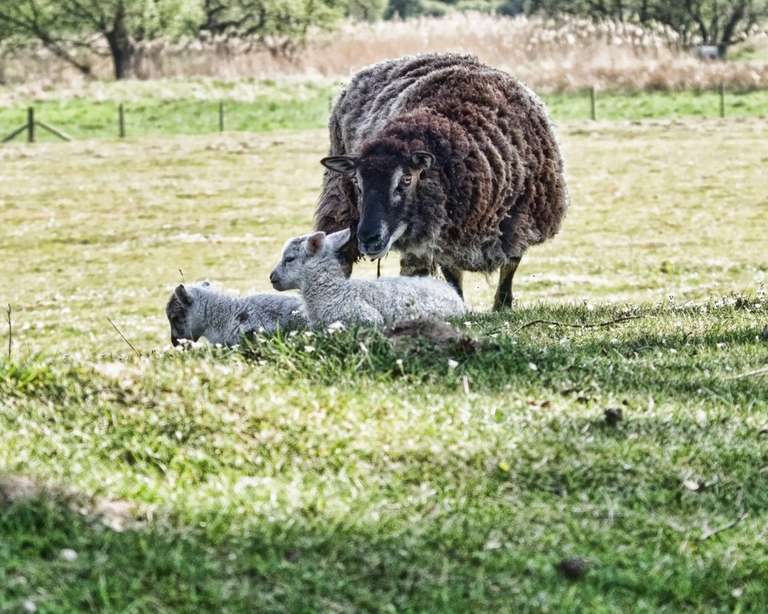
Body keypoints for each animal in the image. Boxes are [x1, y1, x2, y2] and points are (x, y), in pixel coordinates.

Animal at [314, 53, 569, 310]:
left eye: (407, 178)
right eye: (357, 183)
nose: (368, 238)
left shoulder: (519, 224)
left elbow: (509, 269)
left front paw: (502, 307)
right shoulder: (445, 237)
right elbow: (453, 277)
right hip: (340, 205)